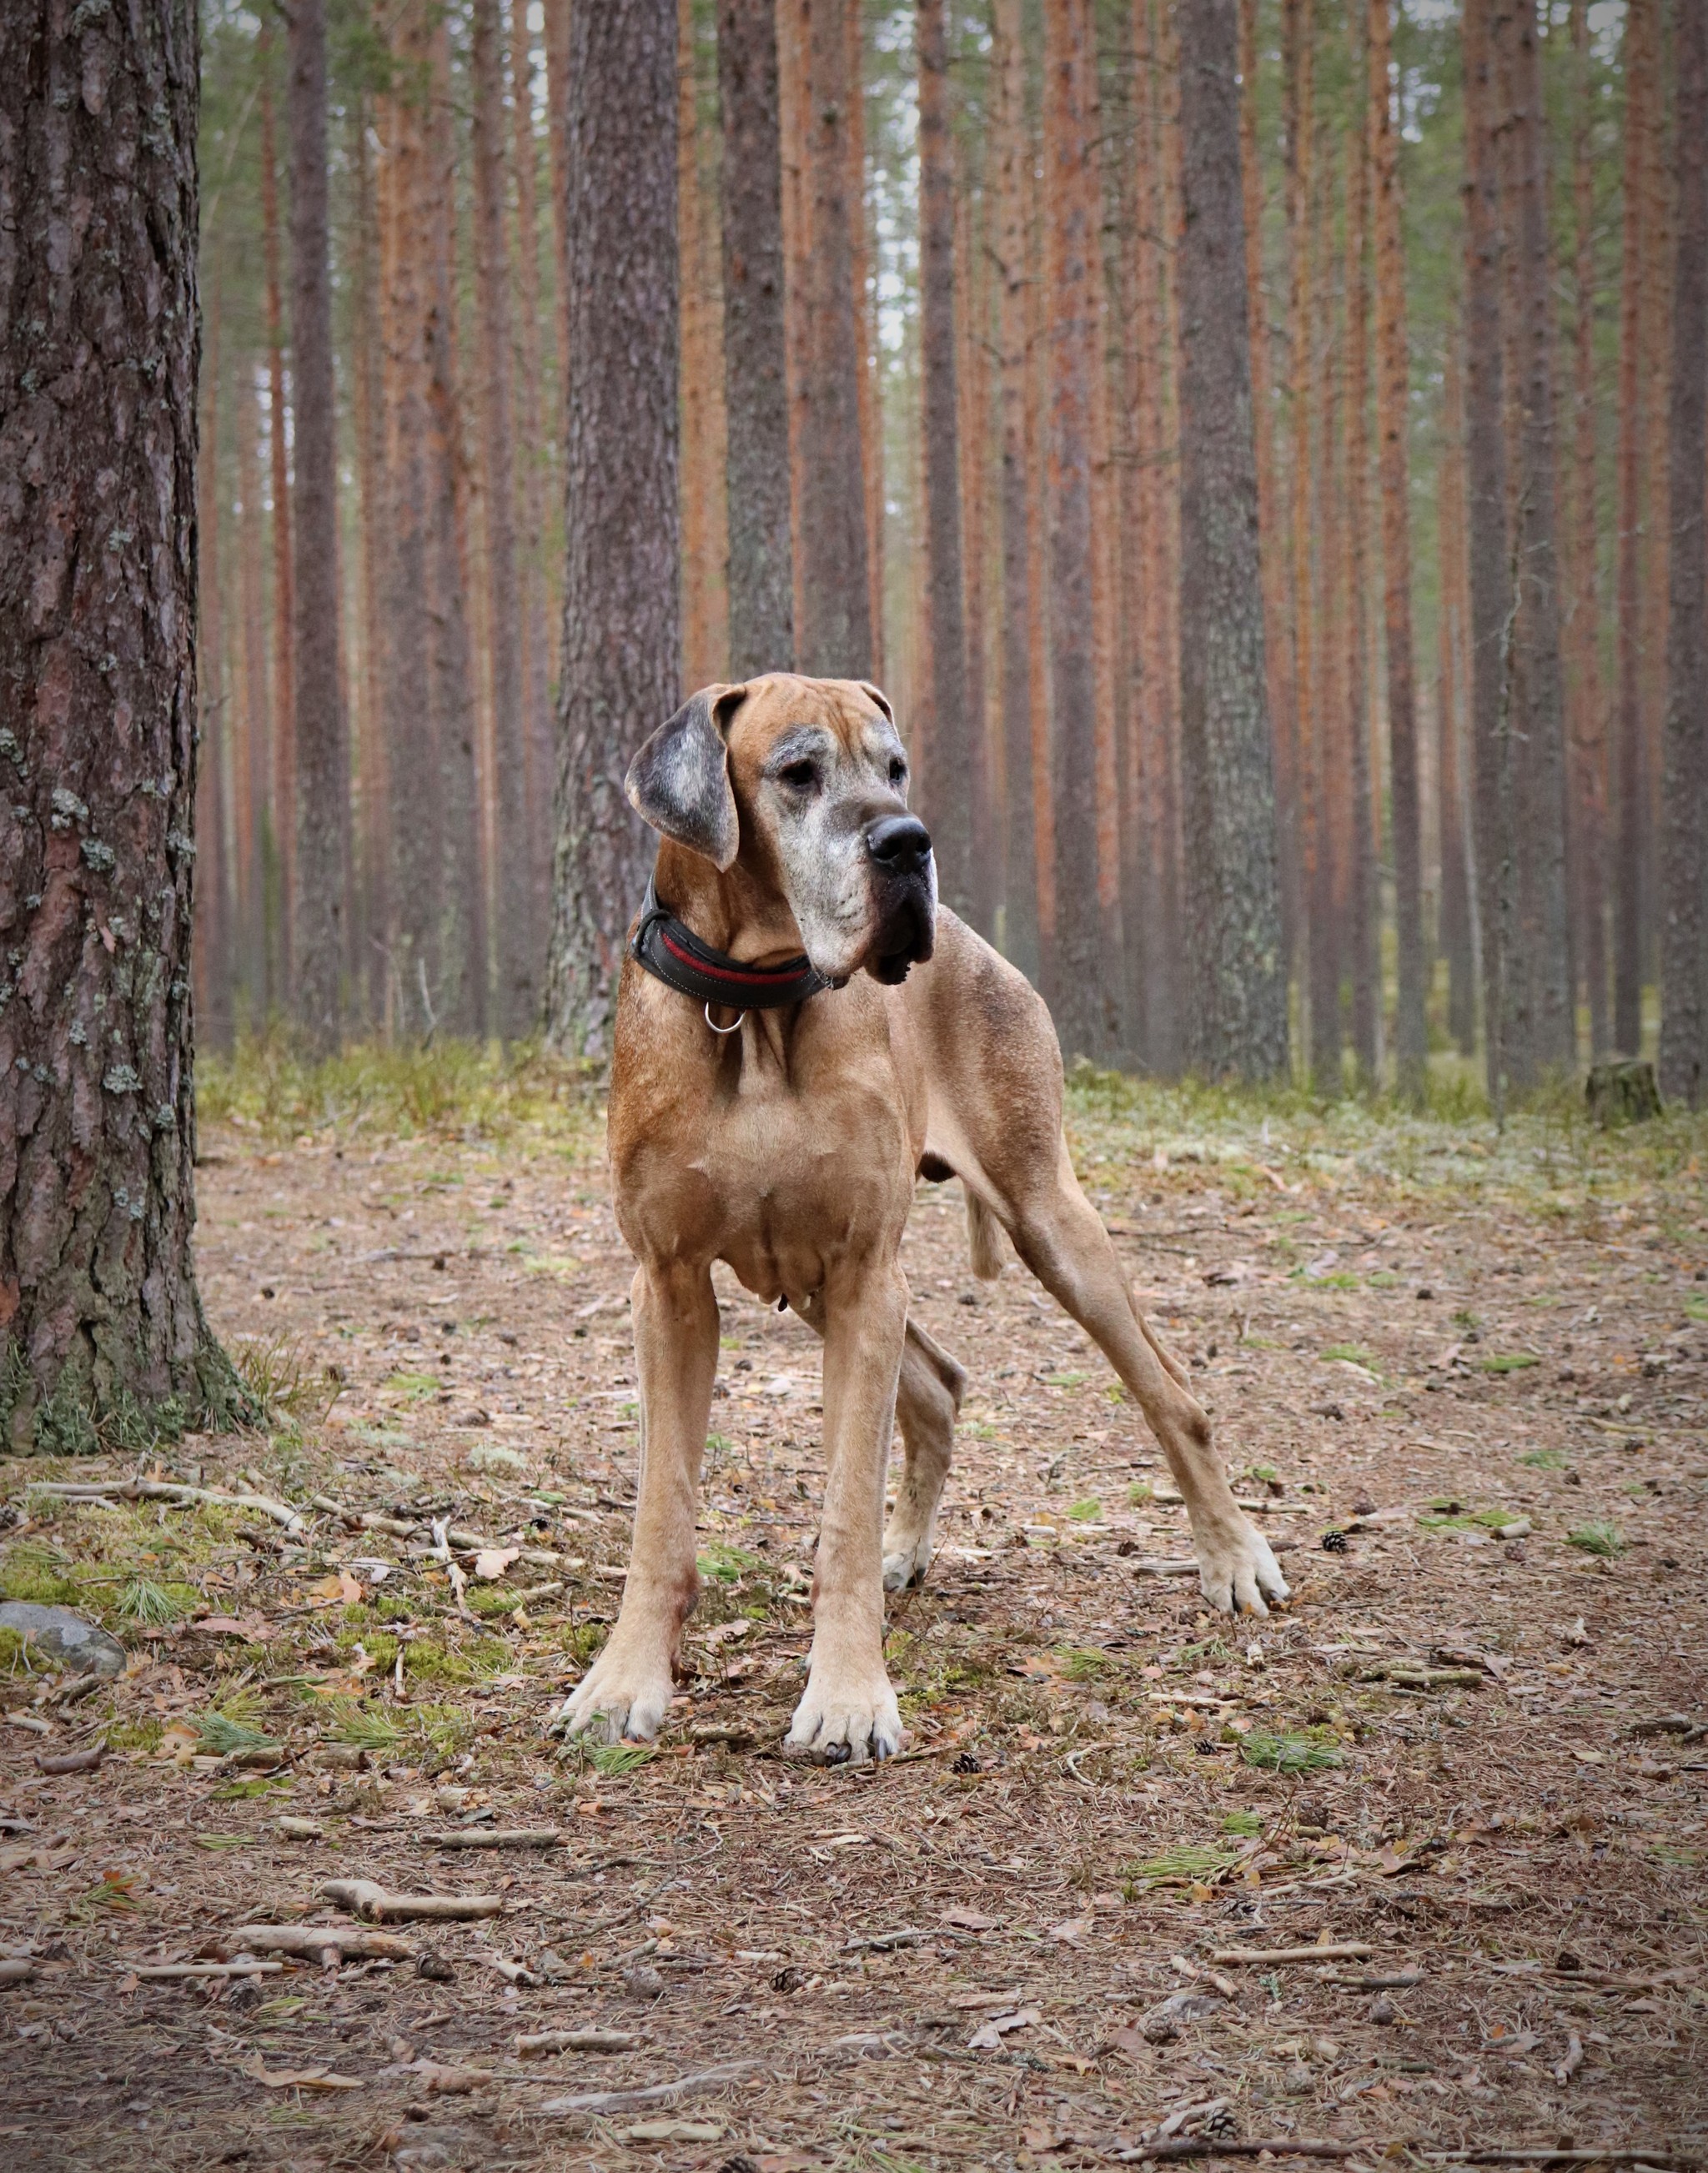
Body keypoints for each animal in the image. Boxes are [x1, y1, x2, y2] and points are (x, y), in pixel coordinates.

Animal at [551, 678, 1286, 1764]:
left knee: (1171, 1393)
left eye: (895, 767)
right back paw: (911, 1548)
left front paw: (848, 1695)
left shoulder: (864, 1271)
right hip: (821, 1281)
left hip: (1043, 1220)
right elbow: (660, 1515)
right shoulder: (671, 1286)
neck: (756, 1007)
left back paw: (1232, 1557)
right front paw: (621, 1681)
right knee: (937, 1386)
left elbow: (844, 1513)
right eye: (796, 772)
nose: (906, 842)